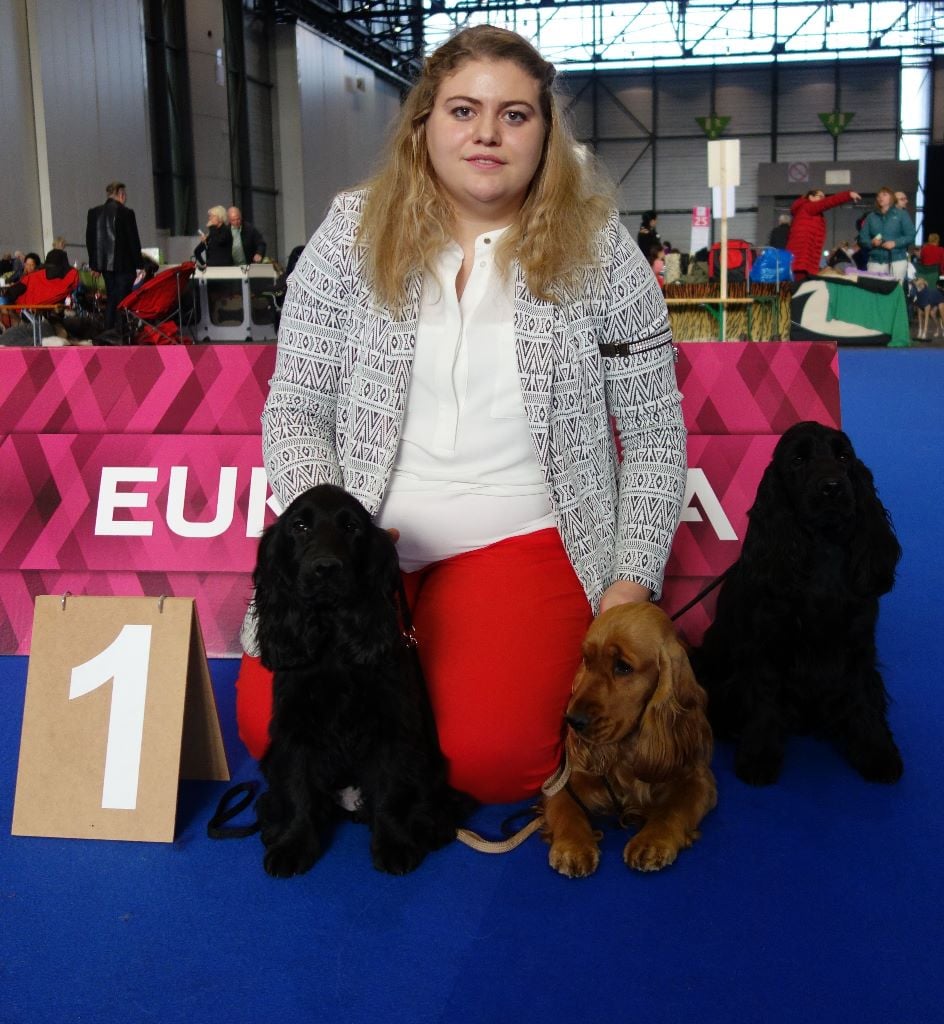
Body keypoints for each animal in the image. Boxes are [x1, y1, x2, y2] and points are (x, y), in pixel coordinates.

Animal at [249, 483, 475, 876]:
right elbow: (297, 787)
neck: (332, 636)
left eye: (351, 527)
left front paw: (394, 844)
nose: (326, 568)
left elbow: (389, 788)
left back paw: (430, 824)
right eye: (299, 527)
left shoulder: (390, 724)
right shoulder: (295, 725)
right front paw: (293, 844)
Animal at [544, 602, 712, 876]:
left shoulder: (697, 778)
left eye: (622, 667)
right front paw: (573, 847)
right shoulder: (566, 778)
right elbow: (565, 808)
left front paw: (651, 842)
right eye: (586, 661)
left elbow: (673, 810)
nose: (572, 721)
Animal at [696, 419, 900, 786]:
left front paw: (878, 753)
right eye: (798, 460)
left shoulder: (859, 644)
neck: (823, 549)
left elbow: (863, 697)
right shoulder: (766, 645)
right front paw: (758, 759)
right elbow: (764, 700)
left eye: (844, 457)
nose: (833, 488)